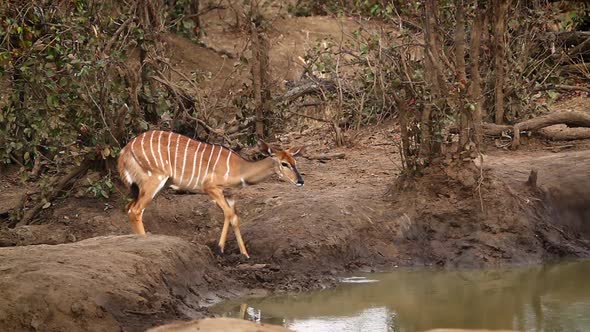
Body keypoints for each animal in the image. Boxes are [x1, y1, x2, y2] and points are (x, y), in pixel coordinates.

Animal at [118, 130, 308, 256]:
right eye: (284, 163)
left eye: (295, 161)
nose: (300, 181)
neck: (239, 168)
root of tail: (125, 151)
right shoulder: (211, 188)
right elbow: (229, 214)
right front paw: (220, 249)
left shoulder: (229, 194)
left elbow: (234, 217)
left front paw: (244, 254)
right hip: (154, 180)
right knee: (135, 210)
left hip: (142, 187)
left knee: (128, 207)